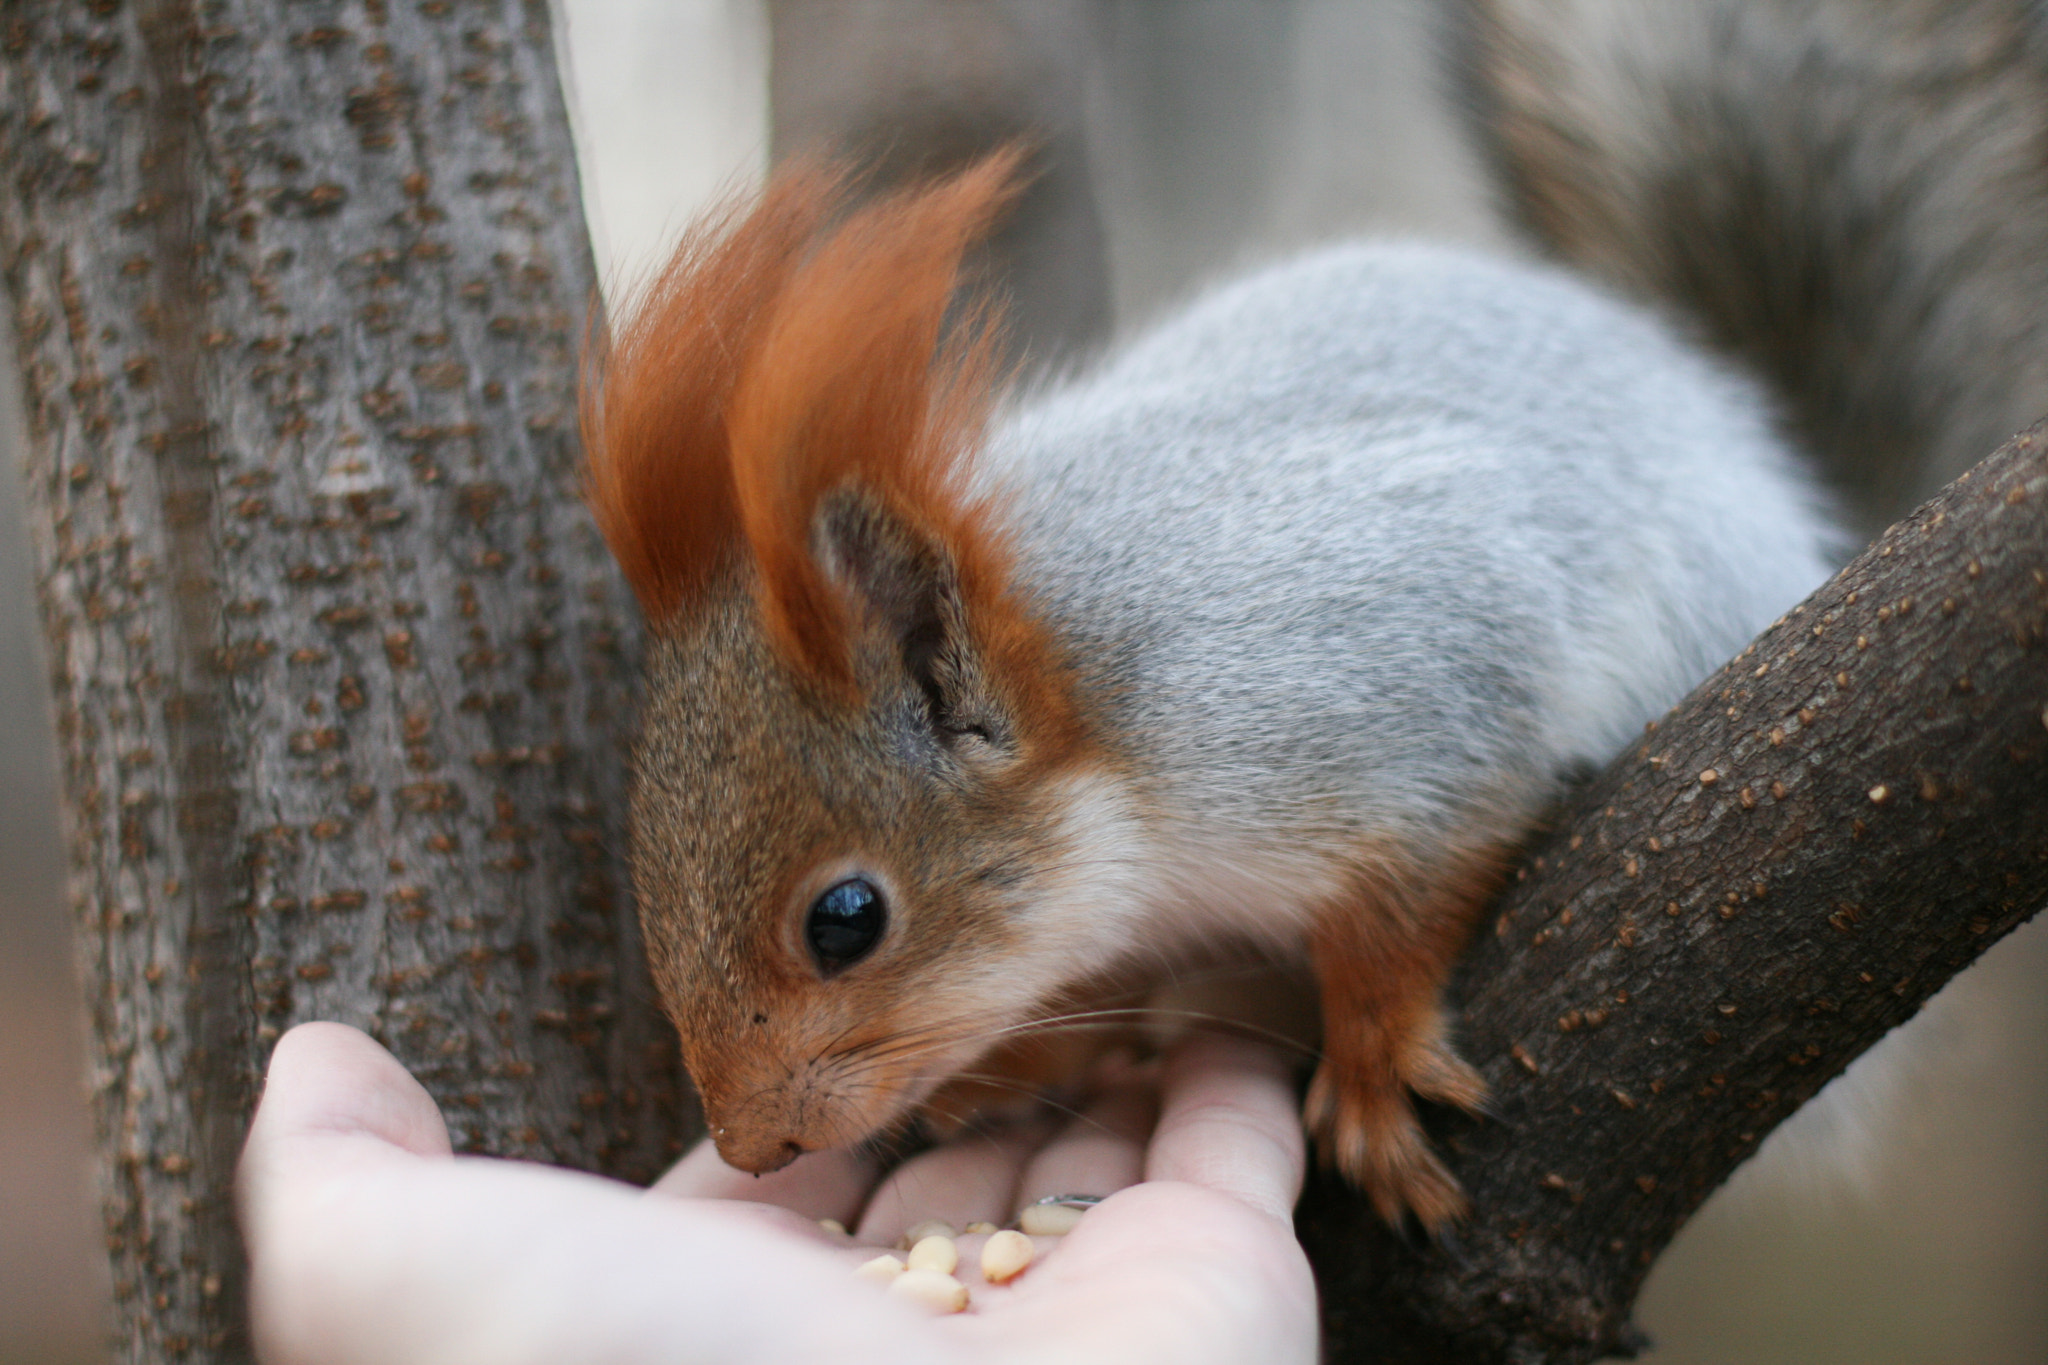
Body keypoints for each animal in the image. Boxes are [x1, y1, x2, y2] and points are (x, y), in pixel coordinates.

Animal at [579, 142, 1843, 1229]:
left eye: (845, 921)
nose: (748, 1146)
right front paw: (1021, 1060)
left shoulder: (1400, 686)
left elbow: (1409, 891)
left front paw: (1372, 1065)